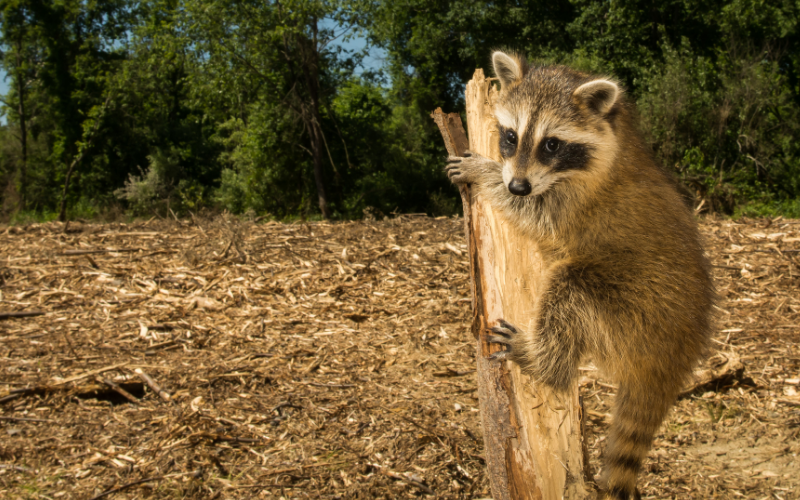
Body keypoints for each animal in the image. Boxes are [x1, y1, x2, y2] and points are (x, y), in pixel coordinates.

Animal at [446, 51, 716, 500]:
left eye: (552, 144)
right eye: (510, 136)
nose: (517, 185)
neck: (618, 137)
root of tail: (673, 357)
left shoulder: (578, 202)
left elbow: (537, 215)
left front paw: (485, 174)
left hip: (635, 305)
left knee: (570, 288)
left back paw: (543, 359)